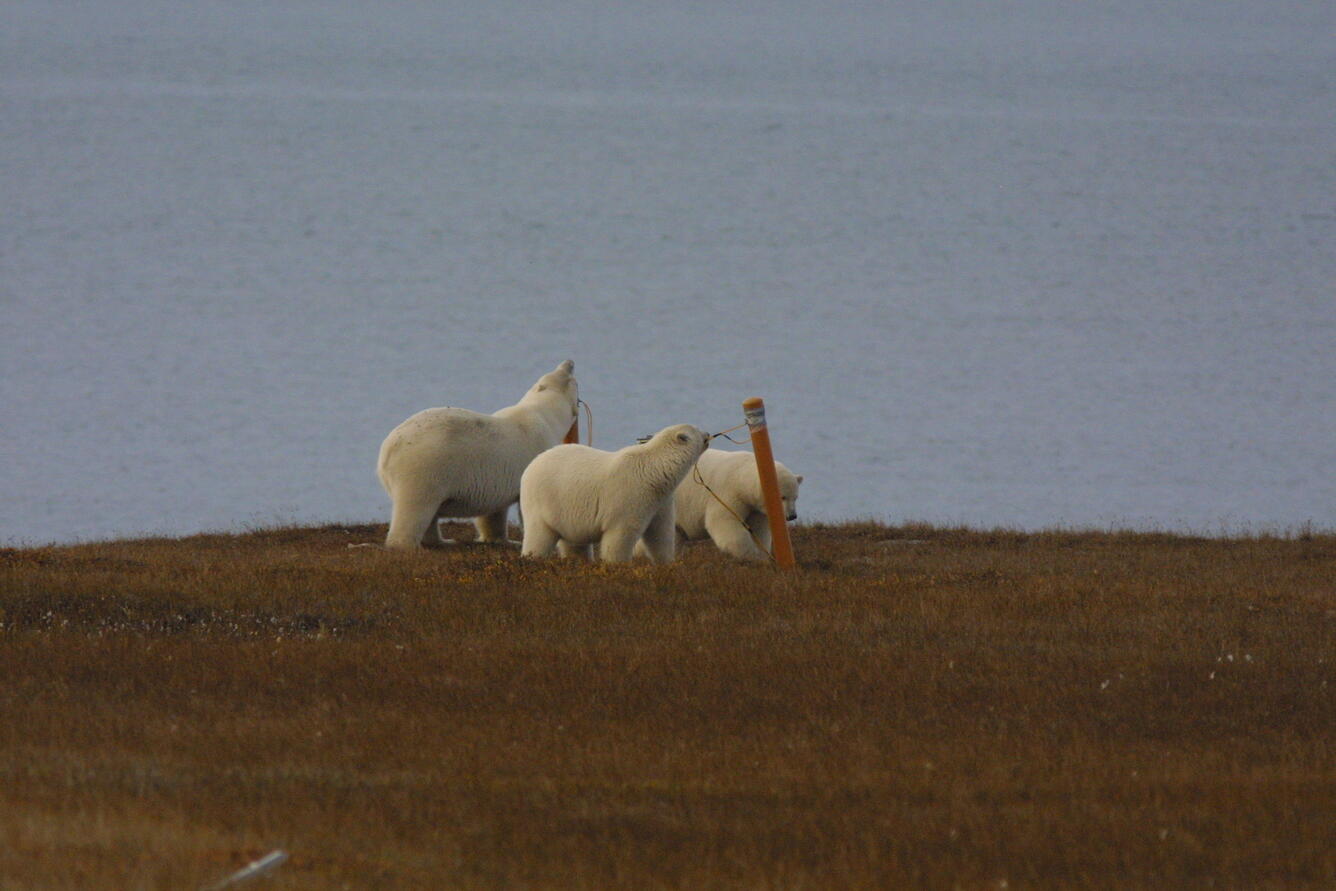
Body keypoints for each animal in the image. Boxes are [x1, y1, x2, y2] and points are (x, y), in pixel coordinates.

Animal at [376, 360, 579, 550]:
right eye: (569, 376)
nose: (569, 361)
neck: (545, 414)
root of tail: (388, 448)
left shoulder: (499, 475)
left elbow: (495, 511)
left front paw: (500, 539)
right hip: (425, 468)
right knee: (416, 507)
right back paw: (409, 545)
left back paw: (443, 541)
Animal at [519, 423, 710, 563]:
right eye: (696, 430)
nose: (708, 433)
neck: (653, 471)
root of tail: (530, 466)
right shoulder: (630, 494)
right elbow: (621, 534)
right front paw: (618, 565)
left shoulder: (660, 500)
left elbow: (660, 533)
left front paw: (666, 563)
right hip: (543, 501)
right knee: (539, 536)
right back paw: (532, 558)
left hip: (565, 508)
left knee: (574, 542)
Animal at [638, 448, 803, 561]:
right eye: (782, 497)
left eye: (795, 497)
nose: (792, 516)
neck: (741, 474)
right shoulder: (727, 492)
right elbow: (723, 522)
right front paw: (750, 554)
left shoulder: (755, 507)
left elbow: (758, 529)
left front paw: (762, 556)